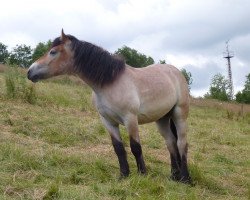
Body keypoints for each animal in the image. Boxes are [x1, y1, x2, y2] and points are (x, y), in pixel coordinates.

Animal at [27, 30, 191, 184]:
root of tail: (176, 72)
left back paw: (185, 179)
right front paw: (123, 175)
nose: (30, 72)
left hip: (179, 115)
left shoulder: (130, 119)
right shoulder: (108, 121)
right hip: (162, 119)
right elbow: (118, 148)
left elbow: (135, 147)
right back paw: (174, 176)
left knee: (181, 143)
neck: (110, 83)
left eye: (53, 52)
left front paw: (142, 174)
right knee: (170, 143)